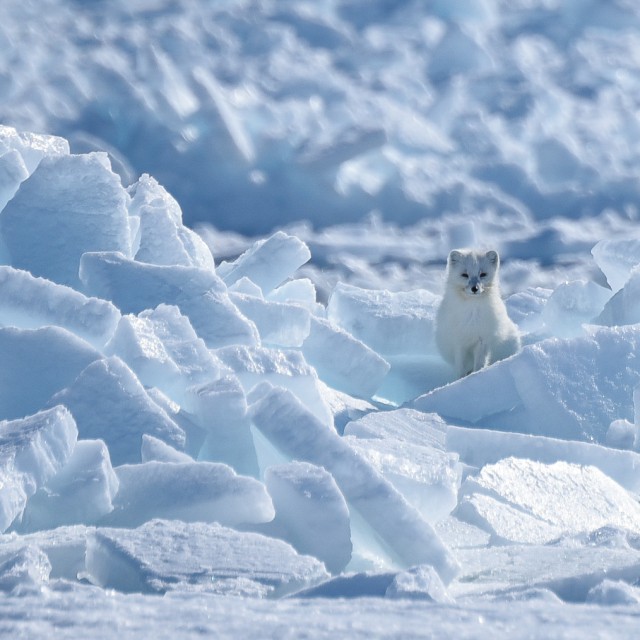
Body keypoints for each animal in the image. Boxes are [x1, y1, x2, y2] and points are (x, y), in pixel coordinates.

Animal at [435, 249, 521, 378]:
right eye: (465, 275)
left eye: (483, 274)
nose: (474, 288)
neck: (472, 312)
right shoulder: (459, 342)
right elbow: (460, 366)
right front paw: (460, 379)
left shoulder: (482, 341)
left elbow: (480, 363)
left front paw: (476, 376)